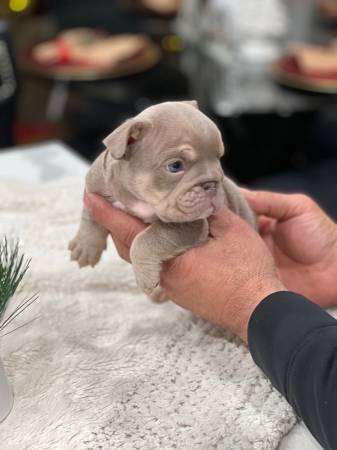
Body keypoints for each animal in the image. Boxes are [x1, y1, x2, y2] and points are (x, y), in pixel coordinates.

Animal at [69, 100, 256, 300]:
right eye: (175, 166)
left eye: (218, 159)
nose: (211, 184)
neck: (138, 197)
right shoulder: (93, 185)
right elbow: (90, 214)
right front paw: (86, 246)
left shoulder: (190, 225)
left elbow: (150, 237)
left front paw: (144, 275)